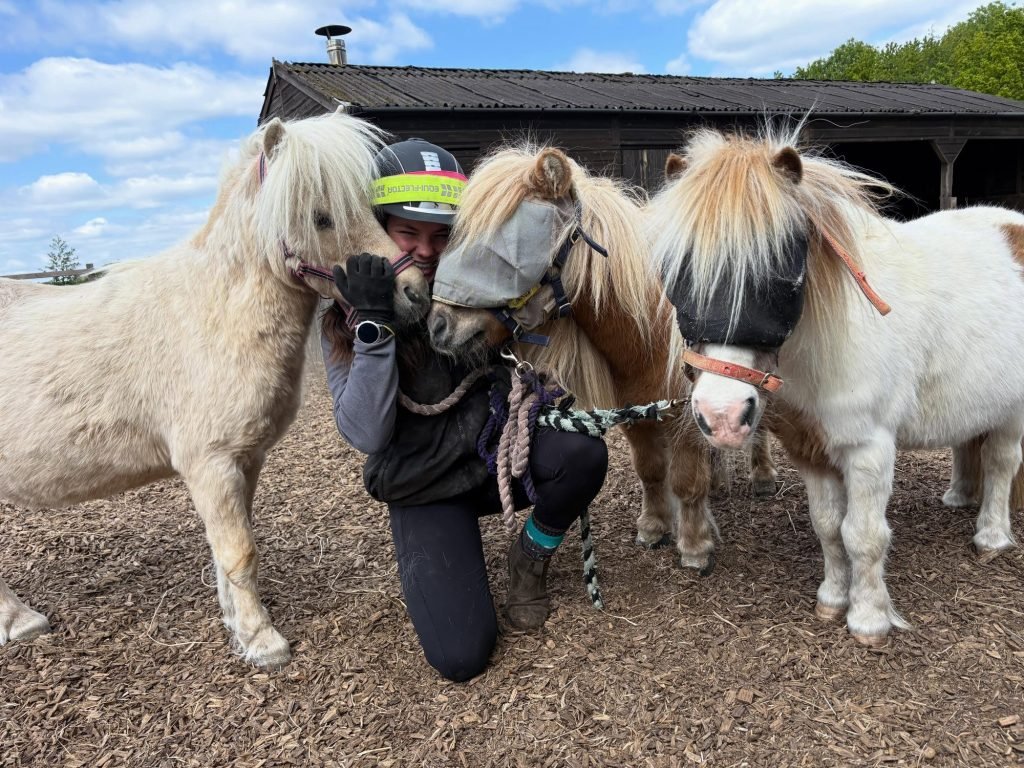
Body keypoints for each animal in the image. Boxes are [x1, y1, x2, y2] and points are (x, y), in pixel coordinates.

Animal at [0, 110, 430, 668]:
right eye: (320, 217)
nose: (414, 294)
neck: (215, 312)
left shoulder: (245, 459)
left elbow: (233, 546)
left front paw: (236, 623)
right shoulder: (211, 463)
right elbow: (238, 550)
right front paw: (263, 641)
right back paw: (18, 620)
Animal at [426, 142, 776, 573]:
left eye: (501, 253)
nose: (438, 325)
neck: (650, 331)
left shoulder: (683, 419)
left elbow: (686, 481)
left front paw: (695, 545)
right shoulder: (635, 414)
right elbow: (651, 471)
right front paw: (653, 526)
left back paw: (762, 476)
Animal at [648, 122, 1024, 645]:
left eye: (780, 272)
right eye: (675, 273)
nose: (722, 415)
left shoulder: (868, 450)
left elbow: (862, 536)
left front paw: (868, 619)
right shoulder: (810, 450)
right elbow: (828, 527)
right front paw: (831, 600)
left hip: (1014, 411)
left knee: (1002, 462)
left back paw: (990, 536)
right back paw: (958, 497)